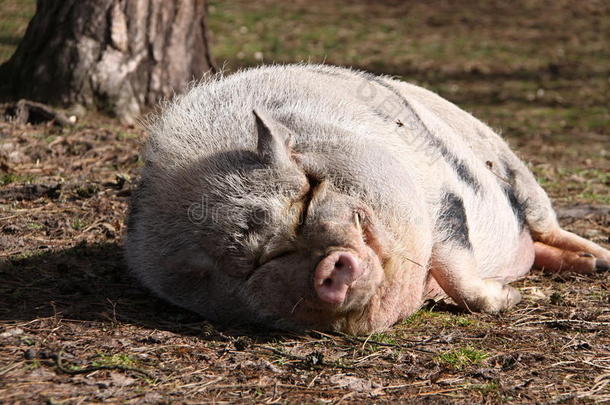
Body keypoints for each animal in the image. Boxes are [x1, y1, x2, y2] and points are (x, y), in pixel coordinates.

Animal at [124, 64, 608, 334]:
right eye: (257, 262)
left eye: (307, 198)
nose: (327, 267)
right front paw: (514, 297)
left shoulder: (441, 195)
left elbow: (456, 267)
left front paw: (515, 301)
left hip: (515, 169)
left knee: (547, 225)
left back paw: (600, 262)